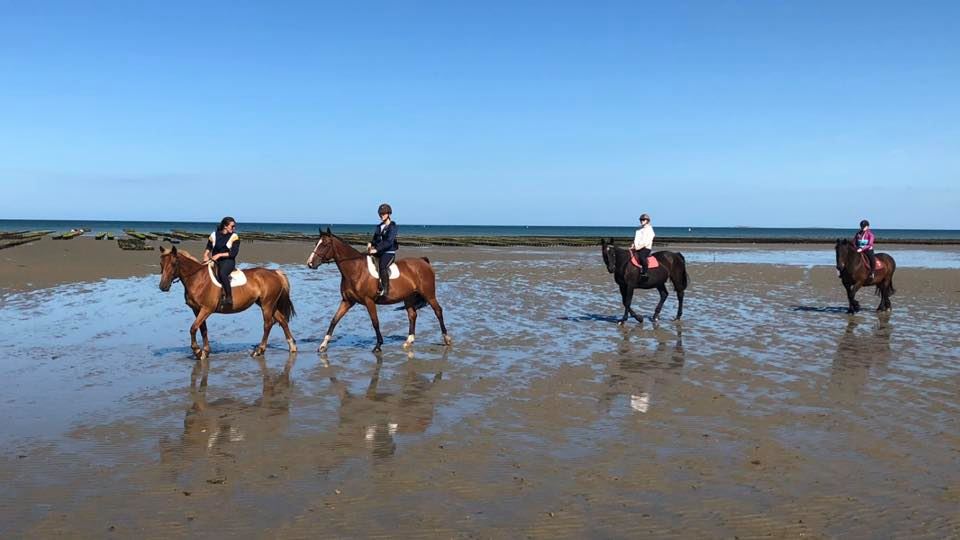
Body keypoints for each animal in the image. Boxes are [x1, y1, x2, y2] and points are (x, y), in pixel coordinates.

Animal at [159, 246, 297, 359]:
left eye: (173, 263)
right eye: (161, 264)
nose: (163, 286)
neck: (198, 279)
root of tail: (275, 273)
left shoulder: (206, 309)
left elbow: (193, 328)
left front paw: (197, 351)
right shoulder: (197, 310)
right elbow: (203, 329)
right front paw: (205, 351)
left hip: (267, 305)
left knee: (268, 324)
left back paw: (259, 350)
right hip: (269, 305)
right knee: (282, 321)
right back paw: (292, 347)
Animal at [306, 227, 451, 353]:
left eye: (325, 244)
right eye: (316, 243)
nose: (310, 263)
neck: (356, 270)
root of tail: (423, 261)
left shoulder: (369, 301)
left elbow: (375, 322)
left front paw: (378, 345)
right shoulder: (347, 301)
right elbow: (334, 320)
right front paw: (323, 345)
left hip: (429, 295)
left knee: (438, 311)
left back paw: (447, 339)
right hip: (408, 297)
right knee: (412, 315)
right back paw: (408, 341)